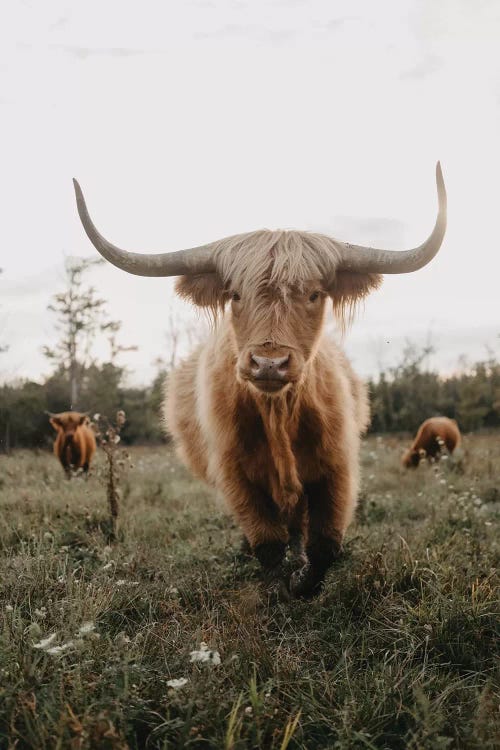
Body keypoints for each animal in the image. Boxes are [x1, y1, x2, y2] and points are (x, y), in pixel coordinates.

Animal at [72, 163, 448, 600]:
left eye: (315, 294)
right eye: (235, 294)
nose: (270, 363)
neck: (278, 412)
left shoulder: (336, 467)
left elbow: (324, 545)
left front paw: (302, 581)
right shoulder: (234, 474)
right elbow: (267, 544)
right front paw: (278, 586)